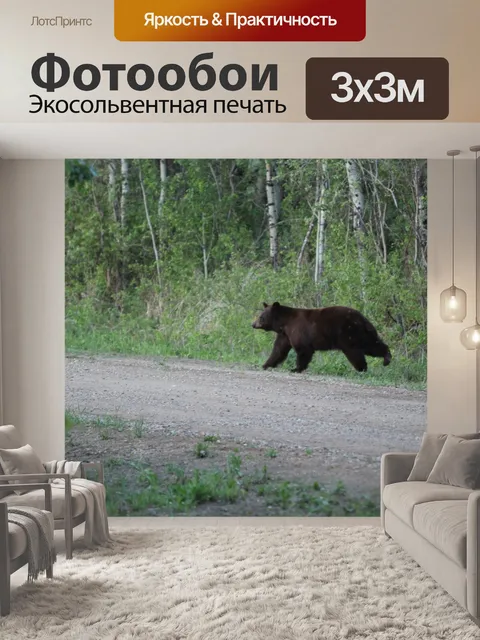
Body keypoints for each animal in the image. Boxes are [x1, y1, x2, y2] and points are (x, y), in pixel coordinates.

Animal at [252, 302, 392, 374]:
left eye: (261, 317)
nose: (252, 324)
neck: (284, 323)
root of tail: (363, 319)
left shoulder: (298, 331)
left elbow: (303, 350)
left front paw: (296, 368)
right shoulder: (285, 335)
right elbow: (278, 350)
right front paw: (266, 364)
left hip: (349, 334)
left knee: (356, 352)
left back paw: (362, 368)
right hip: (362, 334)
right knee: (372, 345)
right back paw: (386, 358)